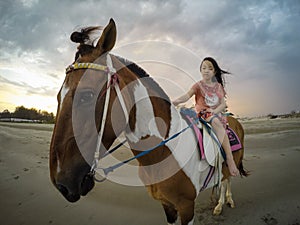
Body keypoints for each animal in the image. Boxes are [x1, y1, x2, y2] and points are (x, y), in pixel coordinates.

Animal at [48, 18, 246, 224]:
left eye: (86, 96)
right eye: (58, 97)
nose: (61, 184)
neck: (163, 151)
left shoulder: (186, 207)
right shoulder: (167, 205)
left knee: (227, 179)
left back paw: (222, 203)